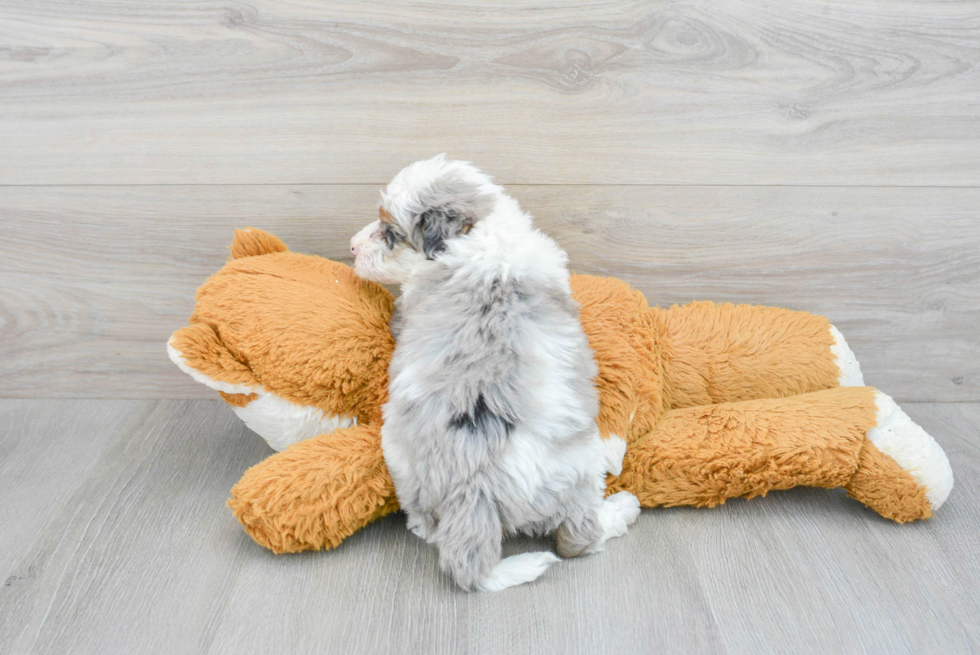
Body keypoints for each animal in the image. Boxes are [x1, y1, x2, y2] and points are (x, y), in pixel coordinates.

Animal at [348, 156, 640, 592]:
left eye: (389, 233)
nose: (351, 247)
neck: (477, 237)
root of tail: (474, 487)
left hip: (397, 456)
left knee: (425, 525)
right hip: (580, 468)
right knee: (579, 538)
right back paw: (620, 510)